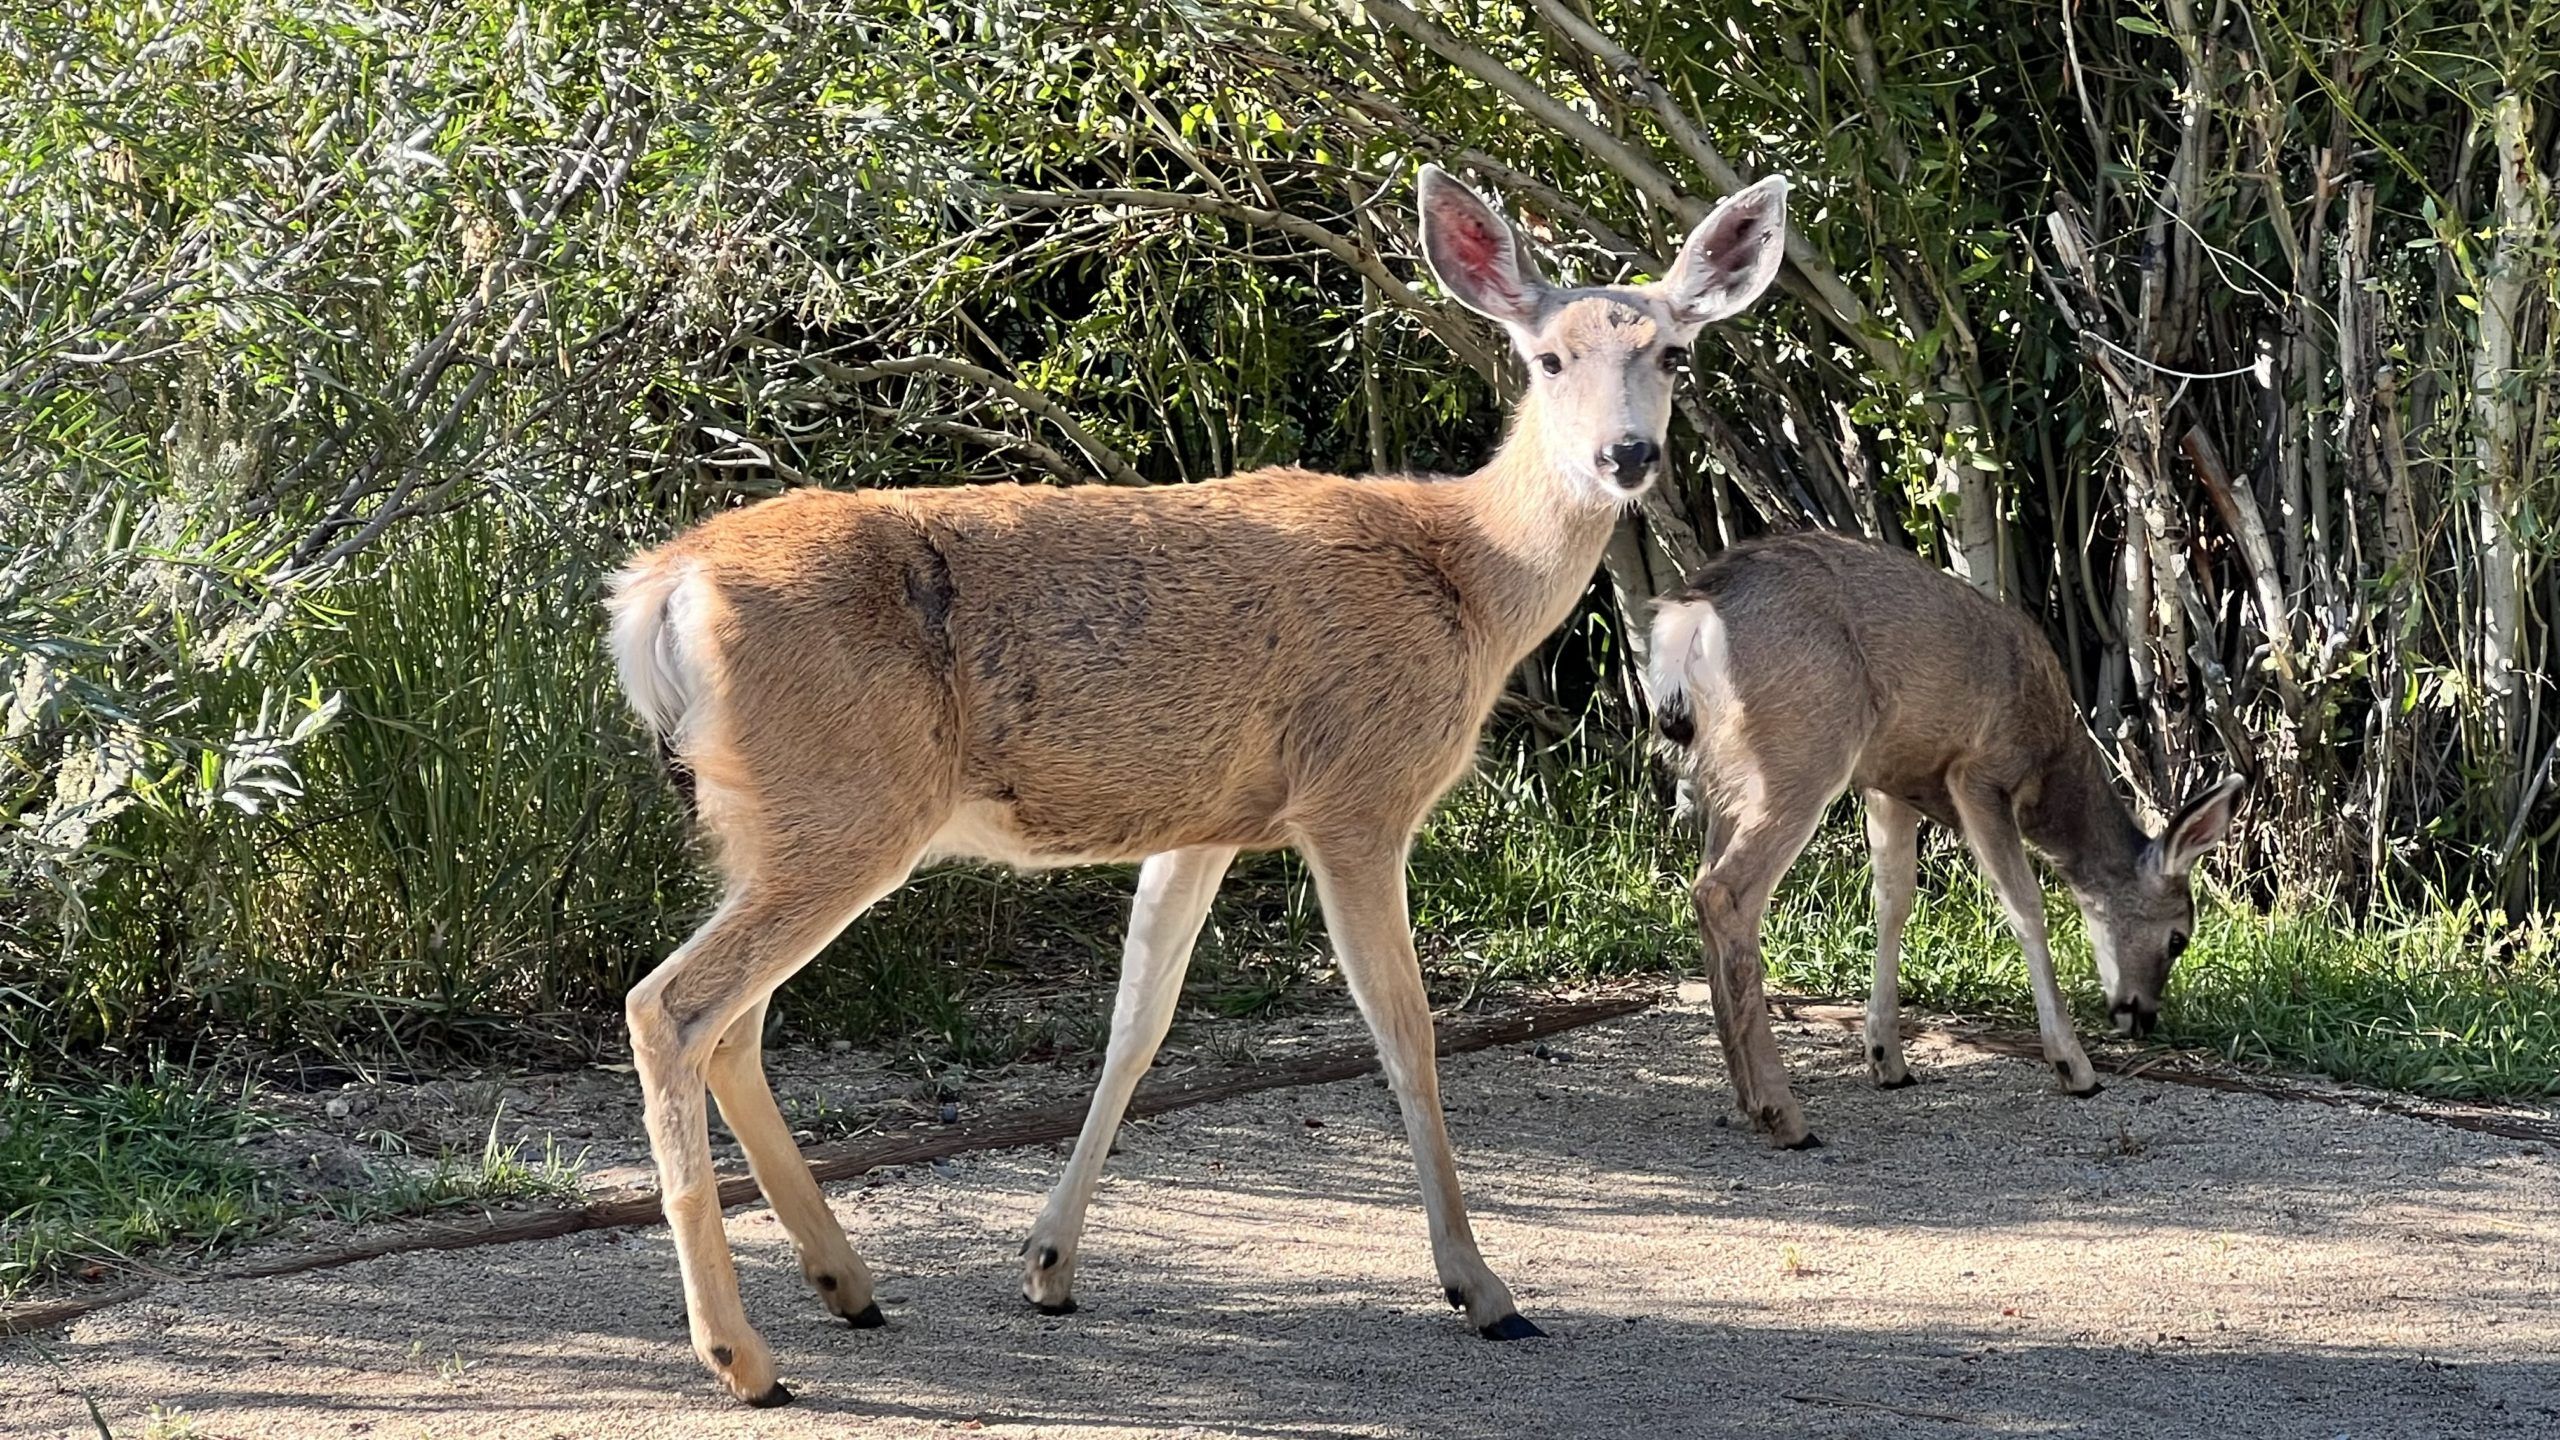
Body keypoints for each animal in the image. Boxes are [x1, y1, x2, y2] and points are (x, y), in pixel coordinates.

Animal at [606, 162, 1792, 1393]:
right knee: (669, 1007)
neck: (1465, 574)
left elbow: (1139, 1022)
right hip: (845, 807)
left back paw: (848, 1286)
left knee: (734, 1025)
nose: (1627, 456)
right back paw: (741, 1353)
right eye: (1549, 357)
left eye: (1675, 354)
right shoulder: (1357, 795)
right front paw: (1482, 1289)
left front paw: (1049, 1266)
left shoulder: (1206, 819)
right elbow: (1404, 1031)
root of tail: (657, 591)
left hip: (777, 824)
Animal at [1648, 527, 2232, 1142]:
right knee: (1723, 892)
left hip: (1728, 773)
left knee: (1704, 883)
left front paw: (1887, 1058)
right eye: (2178, 937)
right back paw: (1784, 1113)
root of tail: (1690, 613)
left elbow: (1893, 900)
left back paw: (1750, 1098)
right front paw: (2075, 1066)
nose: (2141, 1015)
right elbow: (2025, 905)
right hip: (1803, 746)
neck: (2051, 764)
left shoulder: (1889, 783)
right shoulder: (1980, 772)